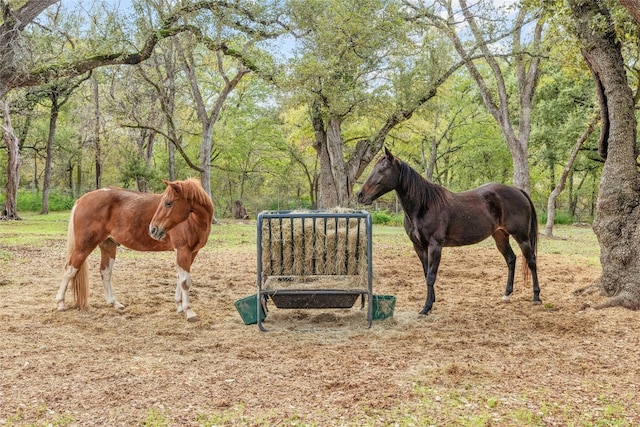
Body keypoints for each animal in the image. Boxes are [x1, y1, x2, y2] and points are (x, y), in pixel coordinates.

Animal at [56, 179, 214, 322]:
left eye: (168, 203)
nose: (153, 229)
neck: (194, 220)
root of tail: (81, 200)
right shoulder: (182, 251)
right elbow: (185, 281)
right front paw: (189, 312)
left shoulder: (191, 253)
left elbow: (180, 278)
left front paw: (180, 307)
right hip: (84, 246)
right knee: (69, 270)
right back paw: (60, 303)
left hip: (108, 245)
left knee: (105, 272)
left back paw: (114, 303)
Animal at [358, 149, 544, 316]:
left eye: (381, 171)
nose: (360, 195)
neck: (424, 205)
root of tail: (518, 191)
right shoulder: (419, 247)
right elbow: (426, 273)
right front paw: (431, 301)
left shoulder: (435, 246)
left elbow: (431, 276)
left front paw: (426, 308)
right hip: (500, 236)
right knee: (511, 259)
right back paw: (506, 294)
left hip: (522, 237)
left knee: (531, 261)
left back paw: (536, 297)